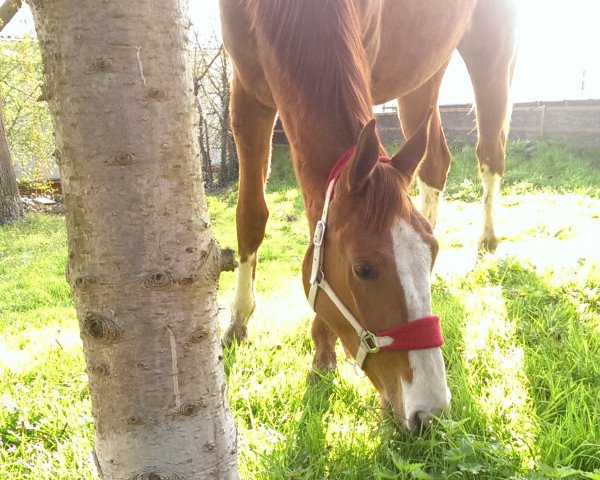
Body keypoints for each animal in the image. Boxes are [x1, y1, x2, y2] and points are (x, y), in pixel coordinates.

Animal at [220, 0, 516, 430]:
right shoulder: (246, 96)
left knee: (491, 154)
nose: (429, 411)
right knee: (436, 162)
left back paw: (489, 238)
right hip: (422, 79)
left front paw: (322, 347)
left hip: (490, 53)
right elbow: (250, 216)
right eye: (363, 269)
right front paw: (238, 322)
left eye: (432, 253)